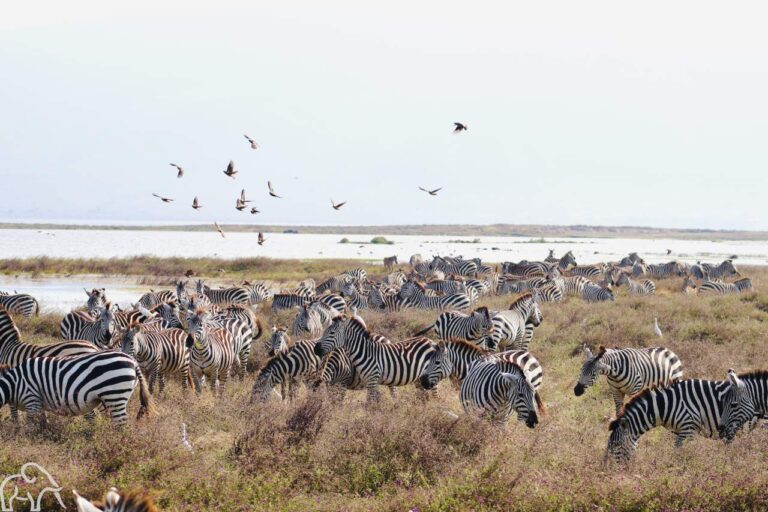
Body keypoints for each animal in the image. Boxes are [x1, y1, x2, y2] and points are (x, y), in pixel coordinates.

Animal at [0, 351, 154, 426]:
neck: (14, 383)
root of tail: (133, 362)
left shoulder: (32, 398)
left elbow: (29, 424)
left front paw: (29, 438)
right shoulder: (38, 403)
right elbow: (40, 421)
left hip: (114, 394)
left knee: (121, 422)